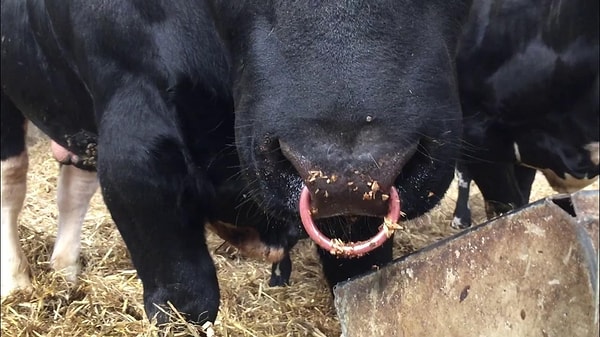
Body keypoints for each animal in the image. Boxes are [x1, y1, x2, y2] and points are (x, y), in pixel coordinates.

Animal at [2, 0, 474, 326]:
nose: (346, 175)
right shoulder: (136, 142)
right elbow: (183, 296)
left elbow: (359, 280)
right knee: (12, 182)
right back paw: (17, 281)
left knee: (73, 186)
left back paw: (65, 271)